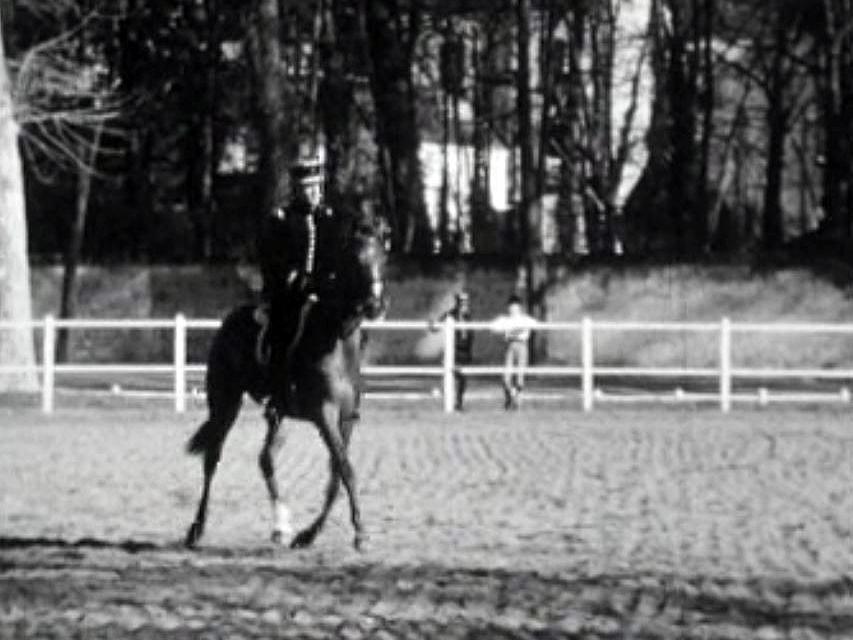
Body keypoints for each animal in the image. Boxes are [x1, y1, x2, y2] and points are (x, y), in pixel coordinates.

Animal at [186, 215, 390, 552]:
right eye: (354, 259)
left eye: (383, 258)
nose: (375, 305)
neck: (335, 339)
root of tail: (229, 321)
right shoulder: (324, 414)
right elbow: (345, 468)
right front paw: (360, 533)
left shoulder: (346, 418)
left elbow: (336, 475)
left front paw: (309, 534)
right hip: (225, 403)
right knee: (212, 459)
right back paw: (196, 528)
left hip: (278, 414)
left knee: (265, 459)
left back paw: (281, 526)